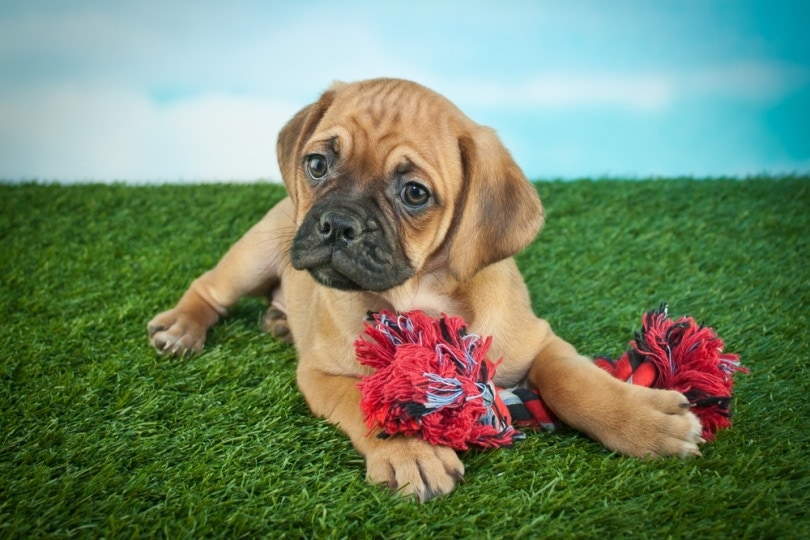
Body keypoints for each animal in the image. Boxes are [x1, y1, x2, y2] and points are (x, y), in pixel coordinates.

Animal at [148, 78, 704, 500]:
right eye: (318, 165)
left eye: (414, 193)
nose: (337, 223)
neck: (420, 295)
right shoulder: (322, 372)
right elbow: (367, 396)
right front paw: (409, 448)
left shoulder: (538, 340)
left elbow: (574, 379)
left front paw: (642, 417)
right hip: (260, 249)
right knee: (209, 289)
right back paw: (182, 327)